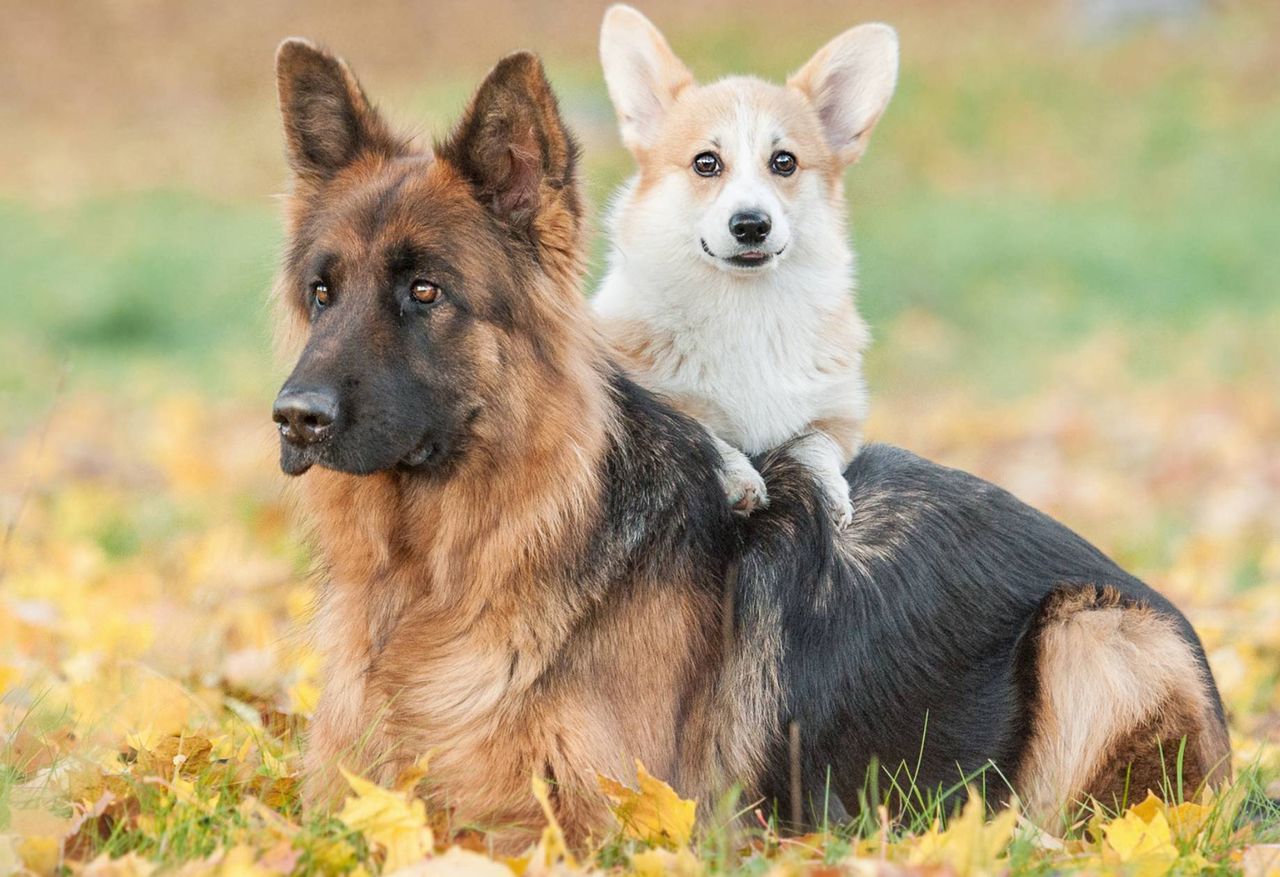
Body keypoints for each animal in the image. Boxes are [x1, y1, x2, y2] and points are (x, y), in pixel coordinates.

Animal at [593, 5, 896, 527]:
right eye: (706, 163)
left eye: (784, 162)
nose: (751, 225)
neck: (745, 307)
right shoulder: (649, 405)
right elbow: (704, 431)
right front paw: (738, 478)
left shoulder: (838, 416)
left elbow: (813, 445)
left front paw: (828, 492)